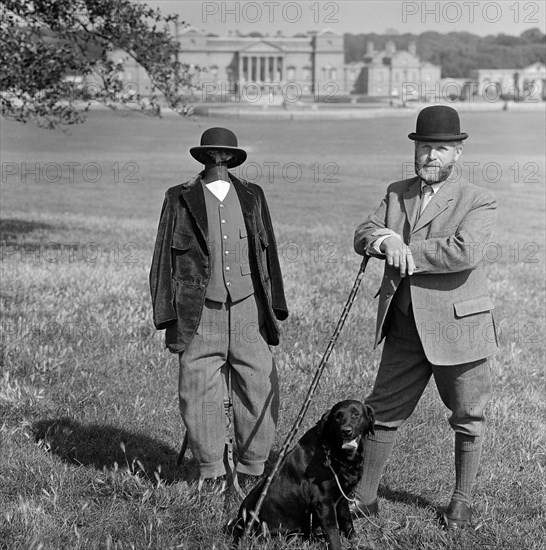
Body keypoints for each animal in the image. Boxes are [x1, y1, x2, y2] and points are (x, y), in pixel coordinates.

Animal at [230, 402, 374, 550]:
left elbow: (347, 522)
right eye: (337, 417)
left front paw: (355, 541)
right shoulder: (324, 503)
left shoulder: (342, 497)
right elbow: (333, 535)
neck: (331, 452)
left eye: (356, 415)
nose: (346, 430)